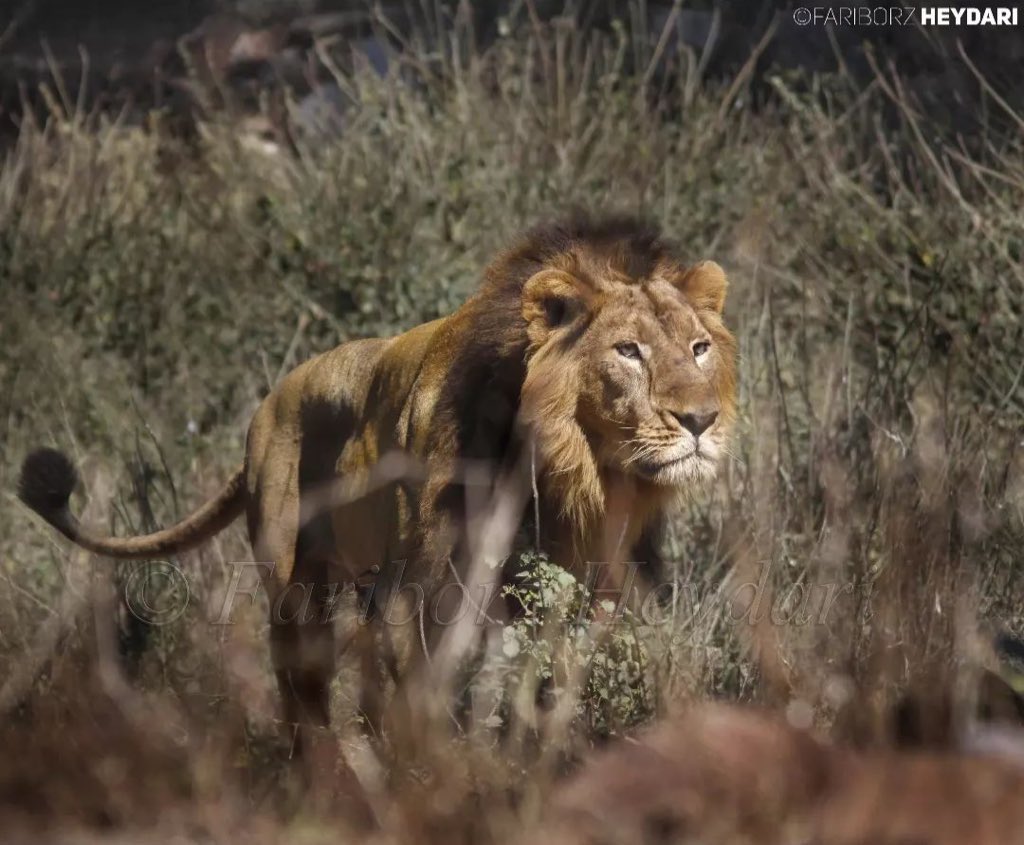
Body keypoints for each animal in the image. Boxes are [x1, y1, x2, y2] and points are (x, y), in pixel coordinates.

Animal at [16, 216, 737, 745]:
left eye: (699, 348)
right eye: (628, 351)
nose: (701, 420)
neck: (572, 476)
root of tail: (267, 403)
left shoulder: (590, 592)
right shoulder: (427, 590)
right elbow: (432, 697)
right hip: (296, 588)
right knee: (302, 692)